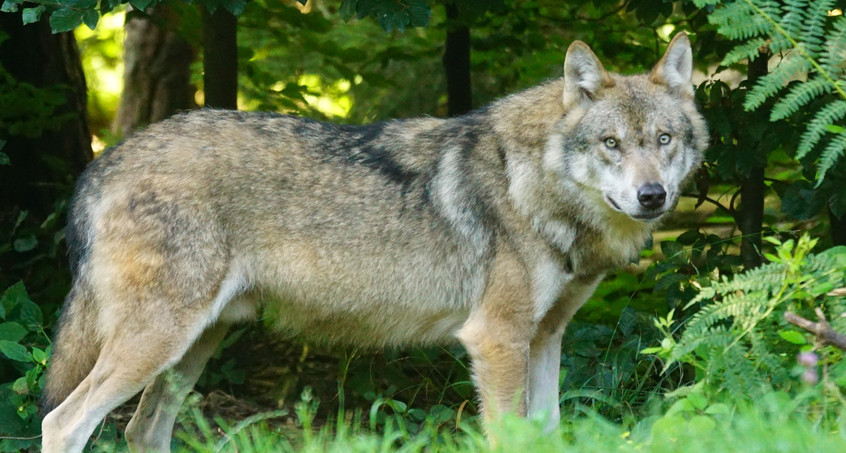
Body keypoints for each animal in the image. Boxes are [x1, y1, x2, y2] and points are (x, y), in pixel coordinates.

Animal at [39, 33, 708, 450]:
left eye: (664, 139)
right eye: (612, 144)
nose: (652, 196)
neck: (532, 184)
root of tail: (104, 162)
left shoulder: (545, 340)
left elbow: (547, 434)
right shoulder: (496, 341)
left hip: (194, 346)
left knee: (142, 431)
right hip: (158, 342)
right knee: (62, 422)